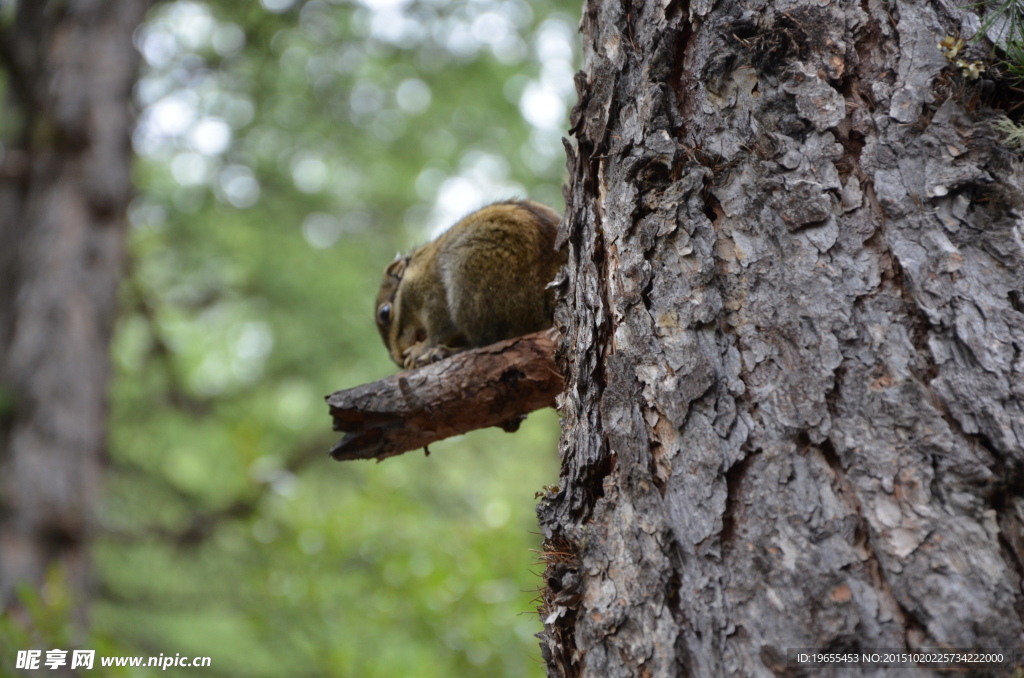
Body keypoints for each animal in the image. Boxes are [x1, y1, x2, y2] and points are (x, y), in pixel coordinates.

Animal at [378, 200, 569, 372]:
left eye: (384, 313)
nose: (398, 359)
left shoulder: (430, 292)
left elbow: (441, 328)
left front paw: (420, 349)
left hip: (471, 279)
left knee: (487, 341)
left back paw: (445, 352)